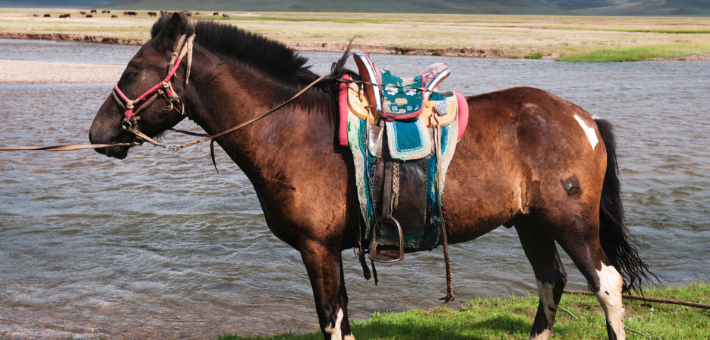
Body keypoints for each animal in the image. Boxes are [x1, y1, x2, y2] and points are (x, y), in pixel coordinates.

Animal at [87, 11, 656, 338]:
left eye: (133, 70)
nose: (98, 133)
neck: (290, 130)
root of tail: (583, 119)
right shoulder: (331, 252)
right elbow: (342, 317)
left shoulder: (317, 250)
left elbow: (331, 321)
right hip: (531, 223)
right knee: (550, 283)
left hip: (570, 222)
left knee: (605, 286)